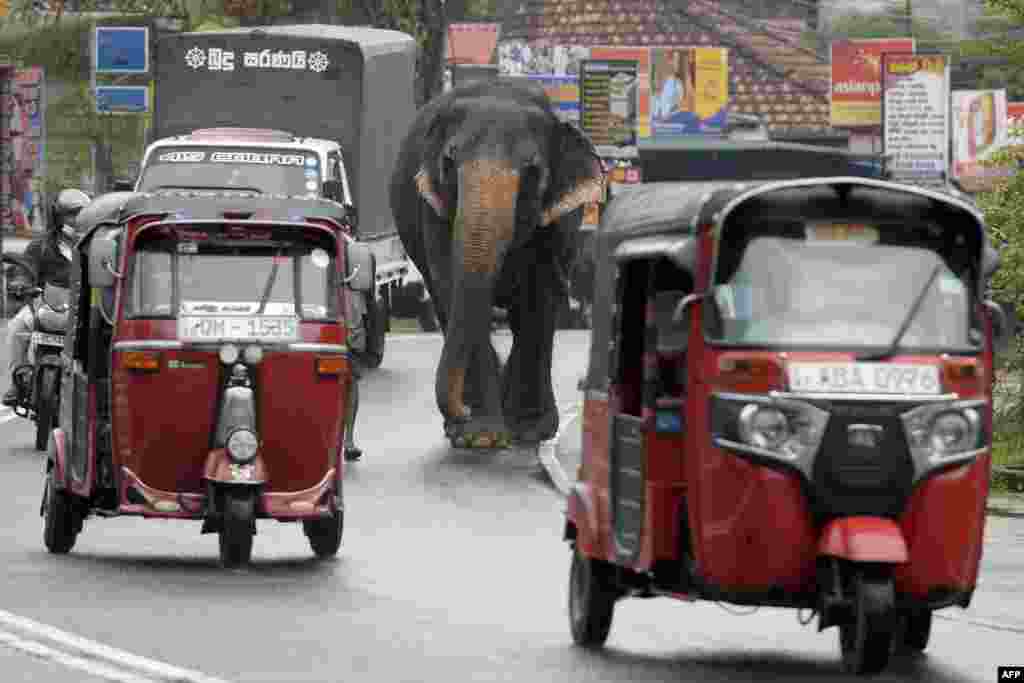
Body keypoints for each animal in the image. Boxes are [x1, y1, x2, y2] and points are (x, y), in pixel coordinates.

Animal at [387, 80, 602, 448]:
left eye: (533, 171)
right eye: (448, 162)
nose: (461, 411)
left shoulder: (557, 223)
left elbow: (539, 296)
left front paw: (530, 431)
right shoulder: (433, 209)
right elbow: (451, 286)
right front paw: (480, 437)